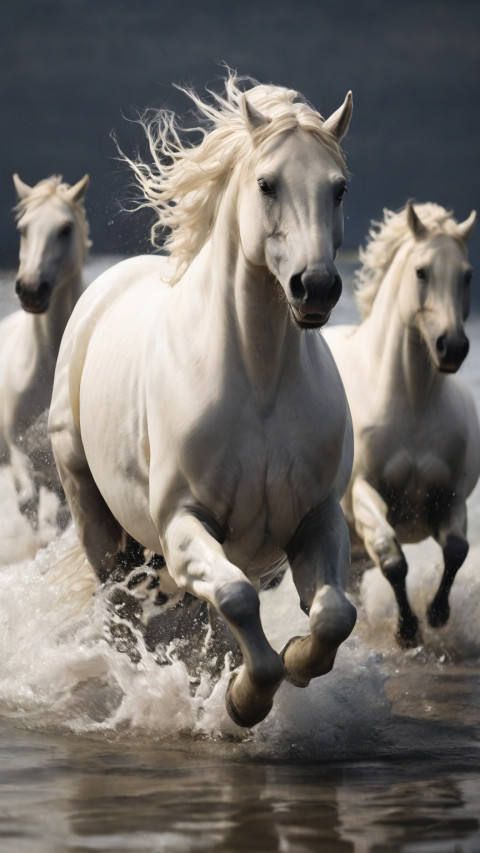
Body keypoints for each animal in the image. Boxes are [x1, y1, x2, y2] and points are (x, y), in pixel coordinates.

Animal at [49, 73, 357, 728]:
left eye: (338, 188)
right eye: (267, 183)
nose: (316, 287)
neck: (259, 385)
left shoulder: (317, 517)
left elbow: (332, 615)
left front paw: (293, 662)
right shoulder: (184, 524)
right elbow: (238, 599)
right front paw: (245, 700)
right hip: (94, 514)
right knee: (122, 610)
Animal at [324, 201, 479, 647]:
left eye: (466, 275)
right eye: (421, 271)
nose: (452, 347)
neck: (411, 405)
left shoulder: (451, 497)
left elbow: (457, 549)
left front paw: (437, 614)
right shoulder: (364, 494)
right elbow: (392, 557)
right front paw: (407, 631)